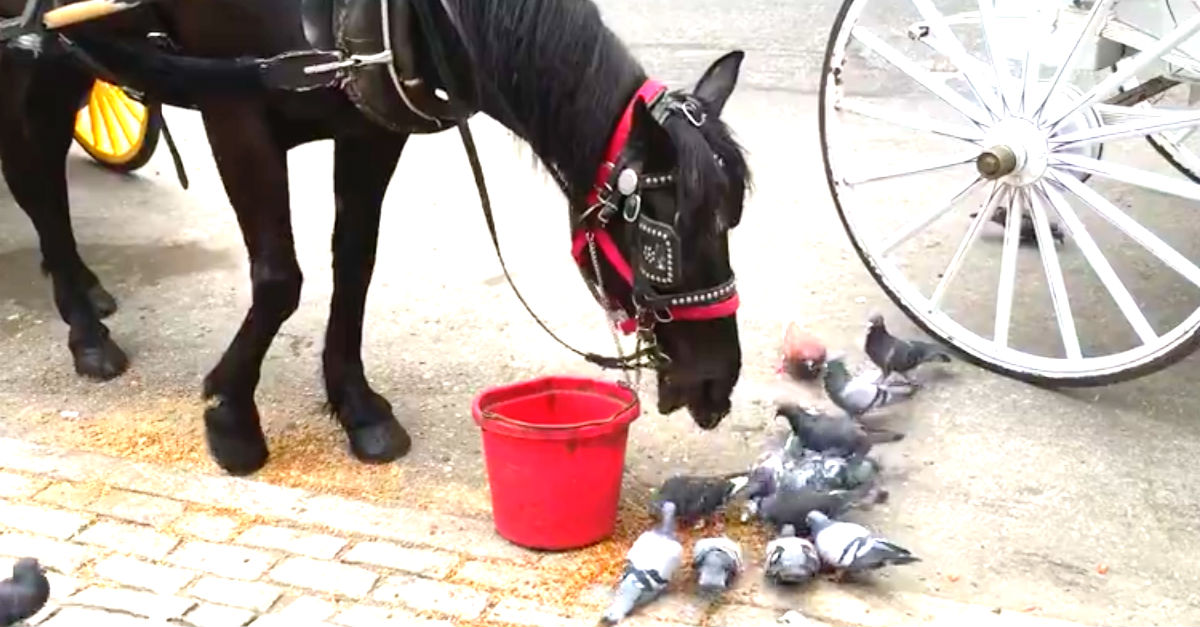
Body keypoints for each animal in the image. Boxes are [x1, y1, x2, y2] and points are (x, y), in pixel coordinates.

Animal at [0, 0, 753, 476]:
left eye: (733, 217)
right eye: (662, 232)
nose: (719, 381)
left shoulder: (368, 129)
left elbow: (354, 266)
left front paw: (356, 406)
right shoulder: (233, 111)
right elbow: (280, 280)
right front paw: (232, 413)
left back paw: (87, 292)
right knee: (35, 167)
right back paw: (85, 330)